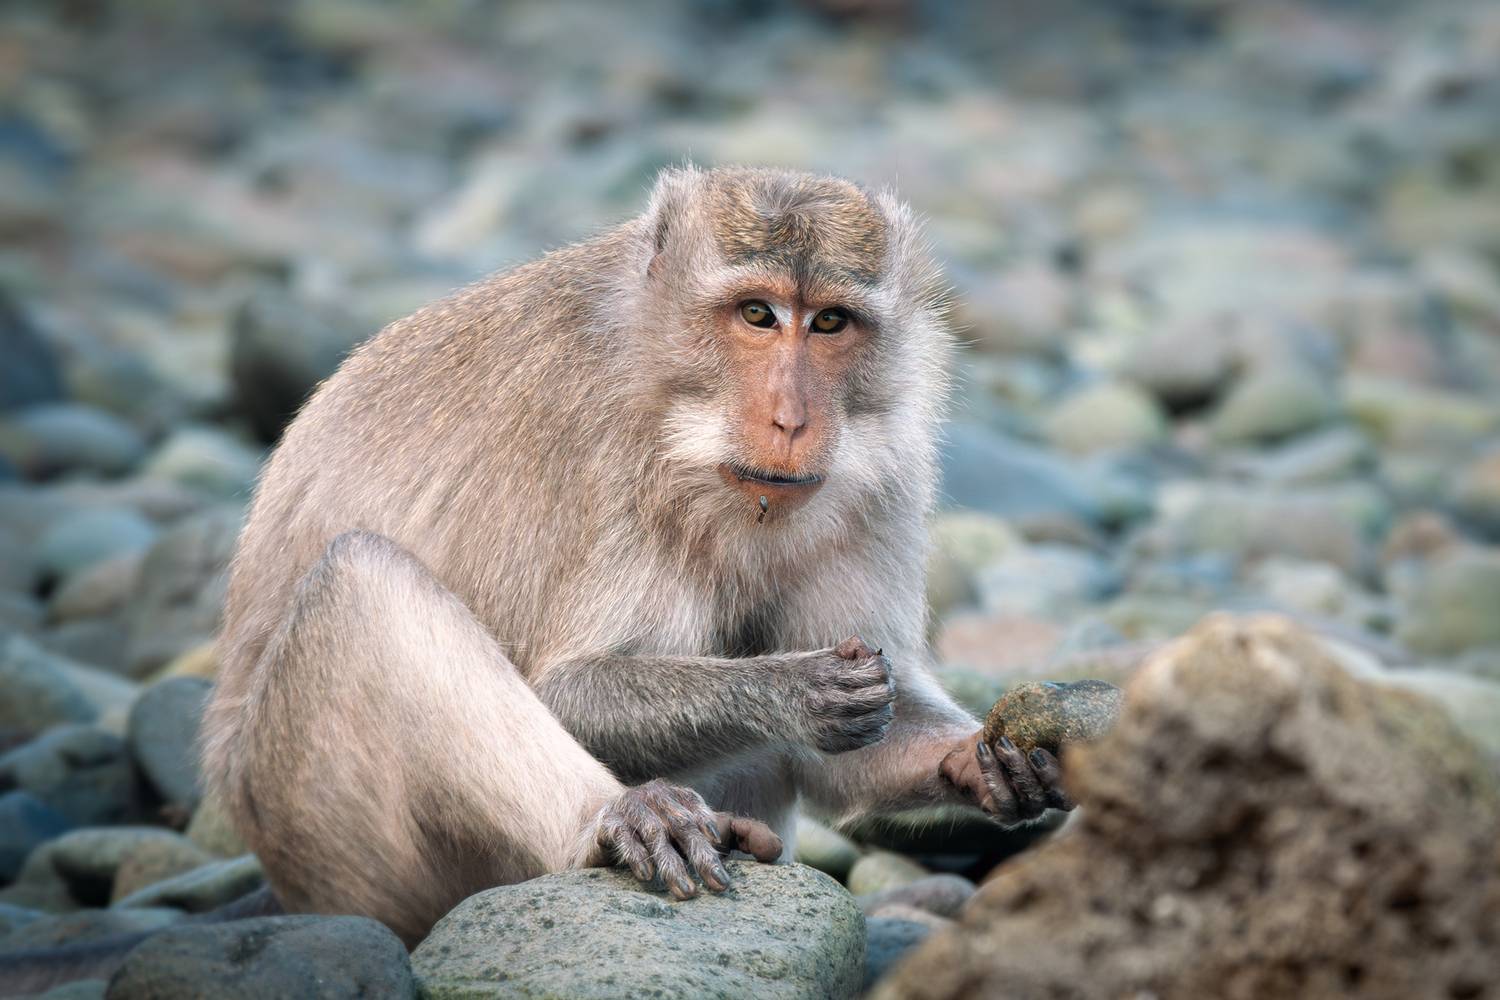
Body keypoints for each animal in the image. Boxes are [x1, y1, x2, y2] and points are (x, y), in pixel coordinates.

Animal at [189, 164, 1073, 951]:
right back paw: (615, 822)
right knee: (360, 580)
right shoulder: (599, 448)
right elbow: (563, 687)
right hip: (319, 832)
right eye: (758, 314)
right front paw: (789, 690)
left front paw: (987, 761)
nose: (791, 420)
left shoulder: (888, 476)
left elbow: (846, 767)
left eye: (829, 323)